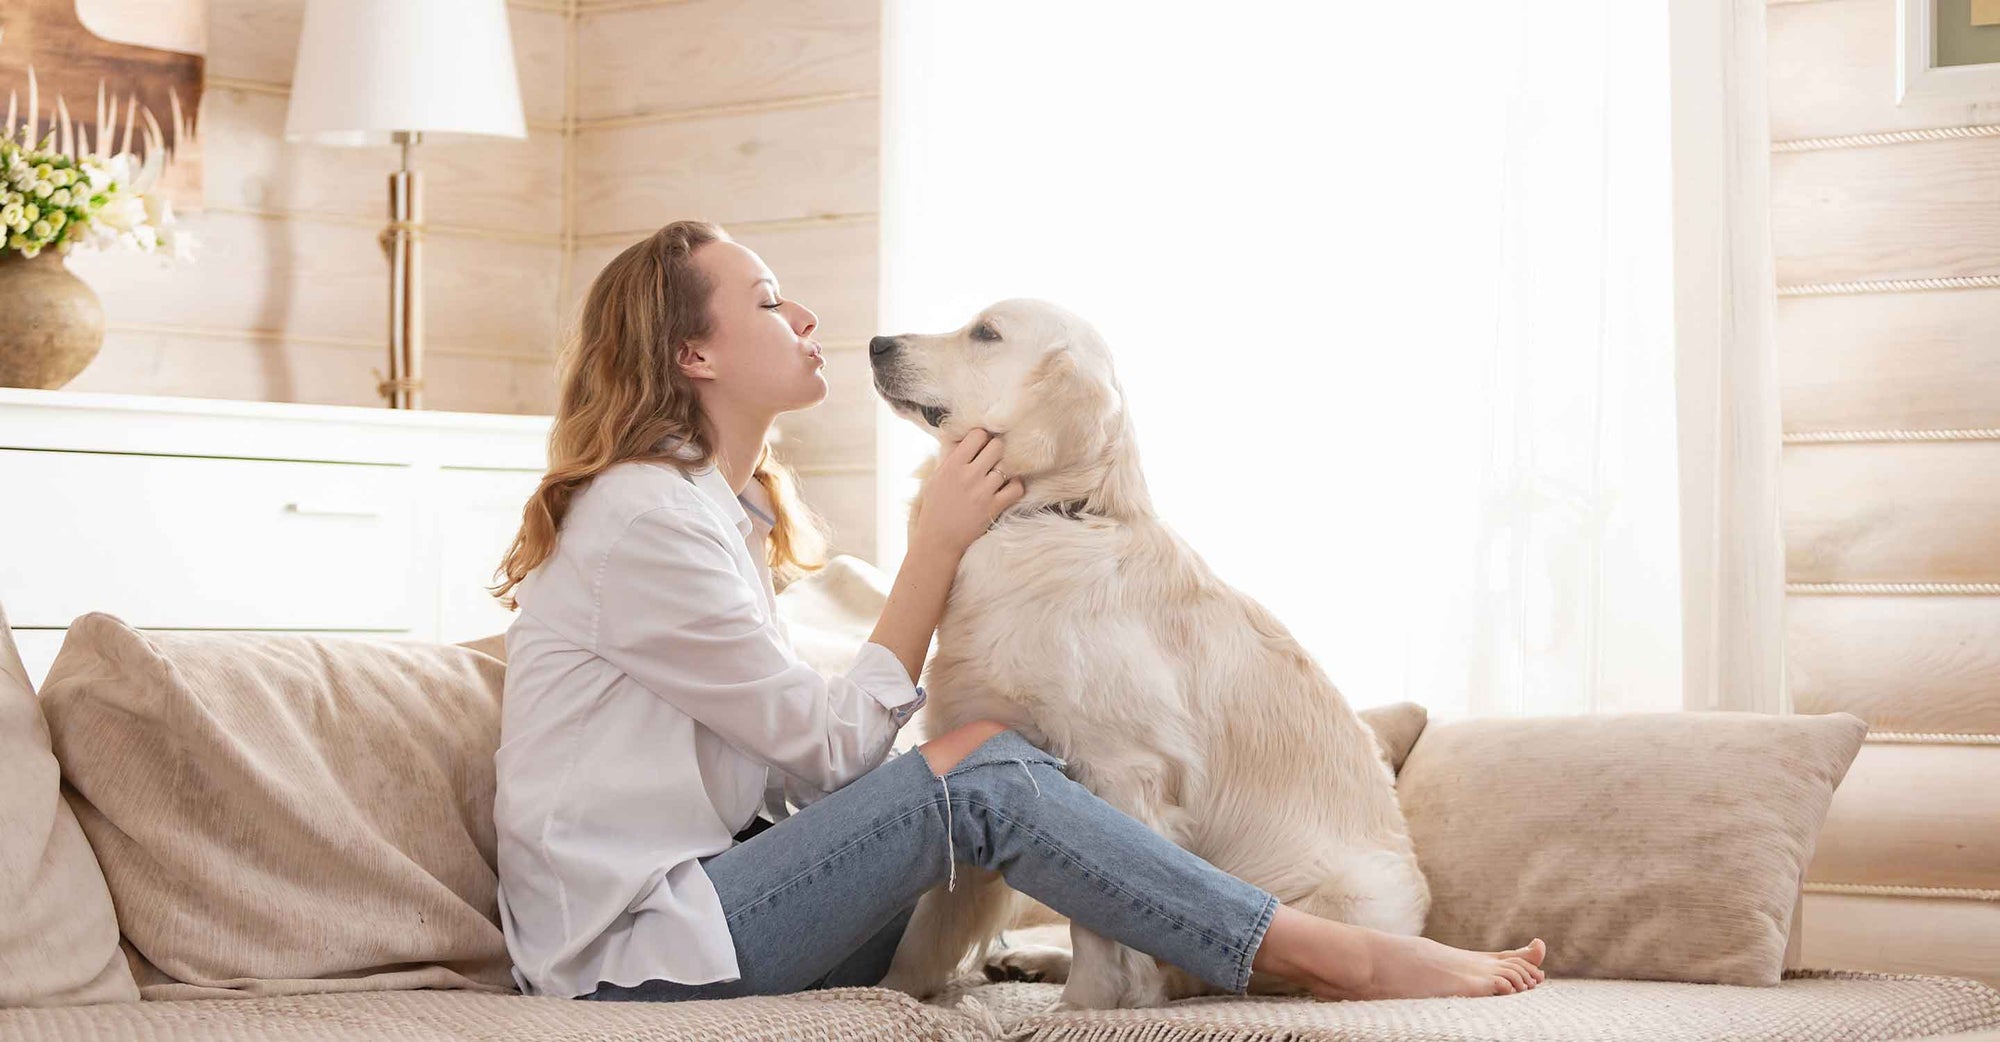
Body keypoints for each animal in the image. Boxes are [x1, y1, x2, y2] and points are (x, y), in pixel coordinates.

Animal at [868, 298, 1432, 1008]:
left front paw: (1081, 1007)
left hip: (1341, 896)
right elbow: (932, 920)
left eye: (986, 334)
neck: (1053, 513)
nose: (875, 344)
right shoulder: (983, 744)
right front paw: (891, 991)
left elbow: (1098, 920)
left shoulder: (1120, 769)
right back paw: (1034, 960)